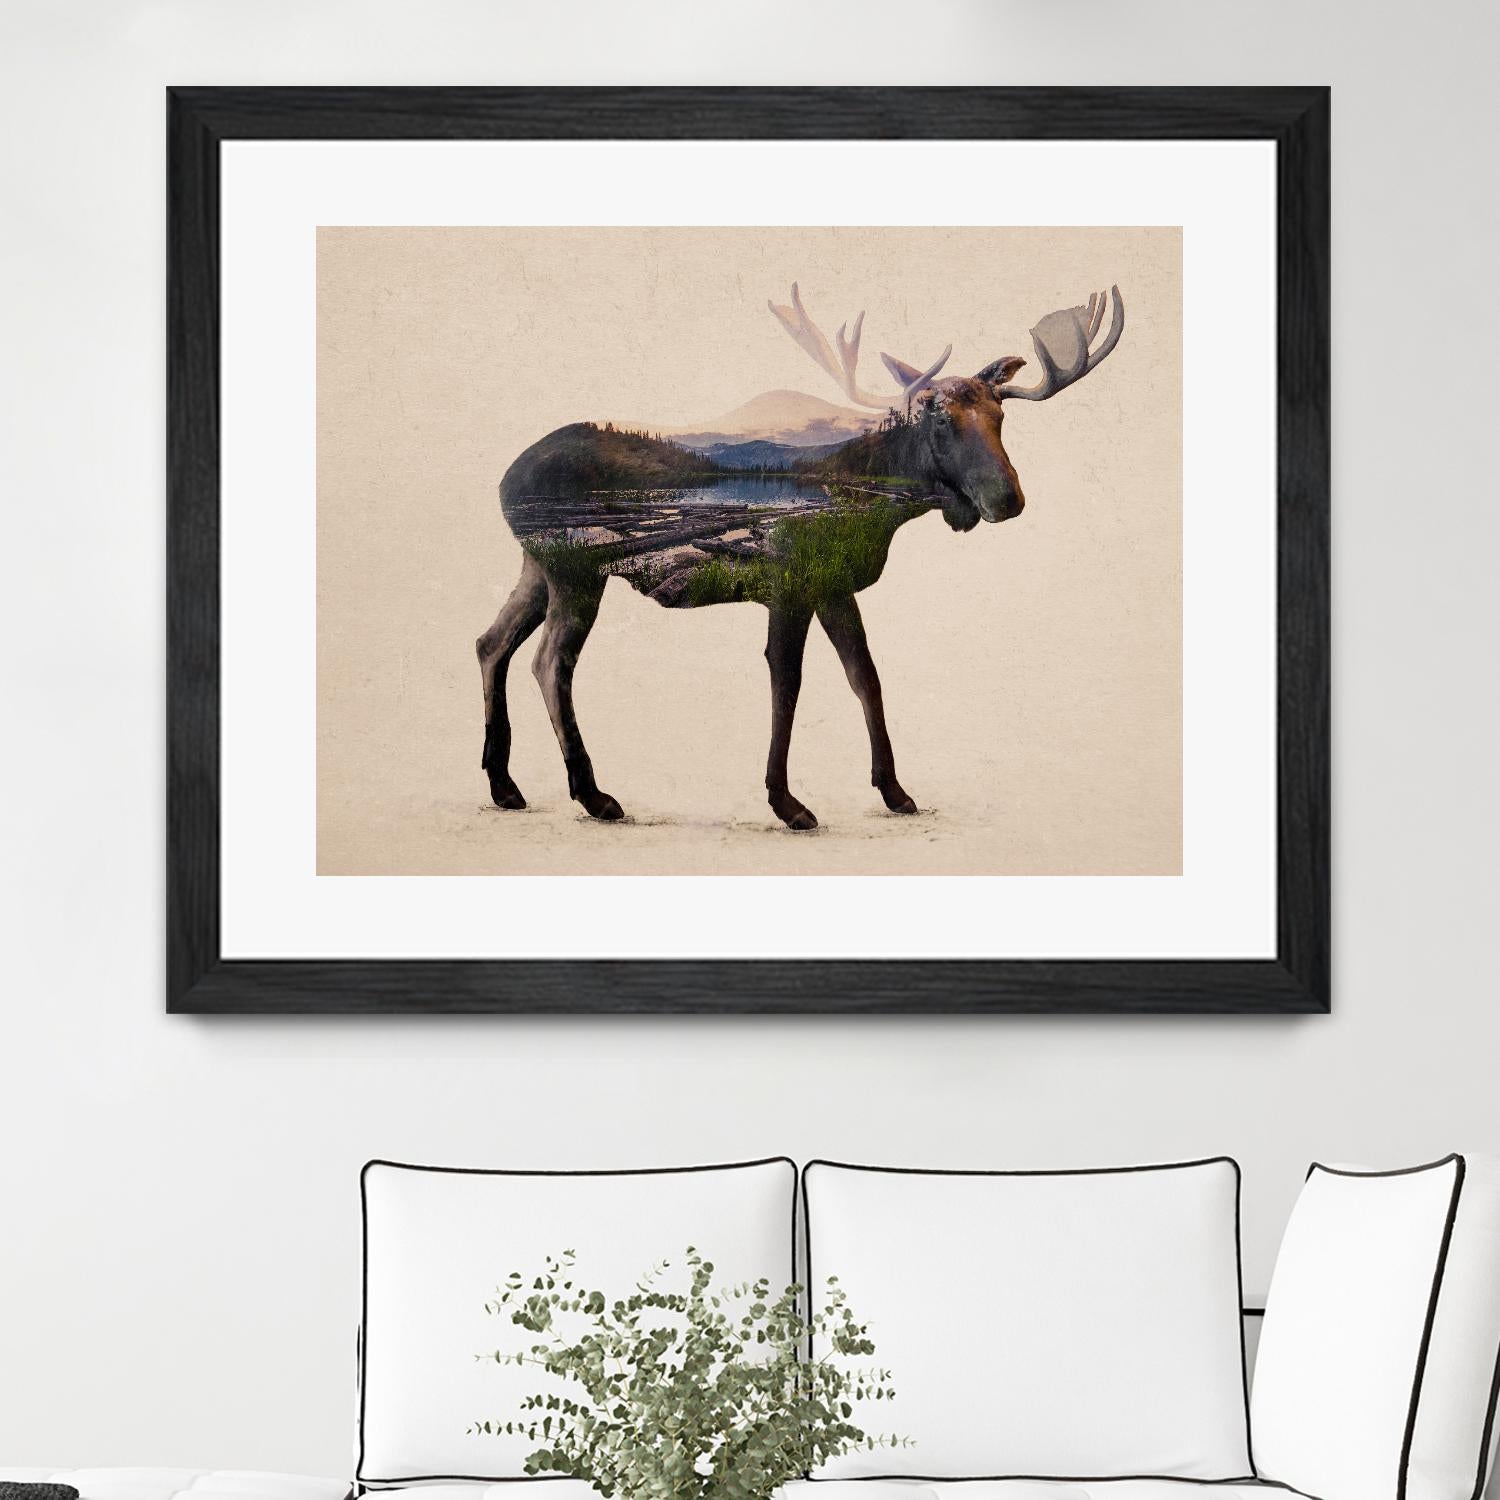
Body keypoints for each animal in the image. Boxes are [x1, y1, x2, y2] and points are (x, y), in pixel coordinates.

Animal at [477, 283, 1124, 831]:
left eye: (1000, 415)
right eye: (939, 417)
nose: (1006, 498)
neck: (879, 507)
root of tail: (504, 478)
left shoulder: (836, 585)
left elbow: (866, 677)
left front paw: (896, 791)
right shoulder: (789, 585)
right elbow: (787, 682)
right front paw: (787, 802)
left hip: (536, 567)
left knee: (491, 642)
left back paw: (506, 786)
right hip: (574, 569)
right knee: (549, 662)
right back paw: (594, 795)